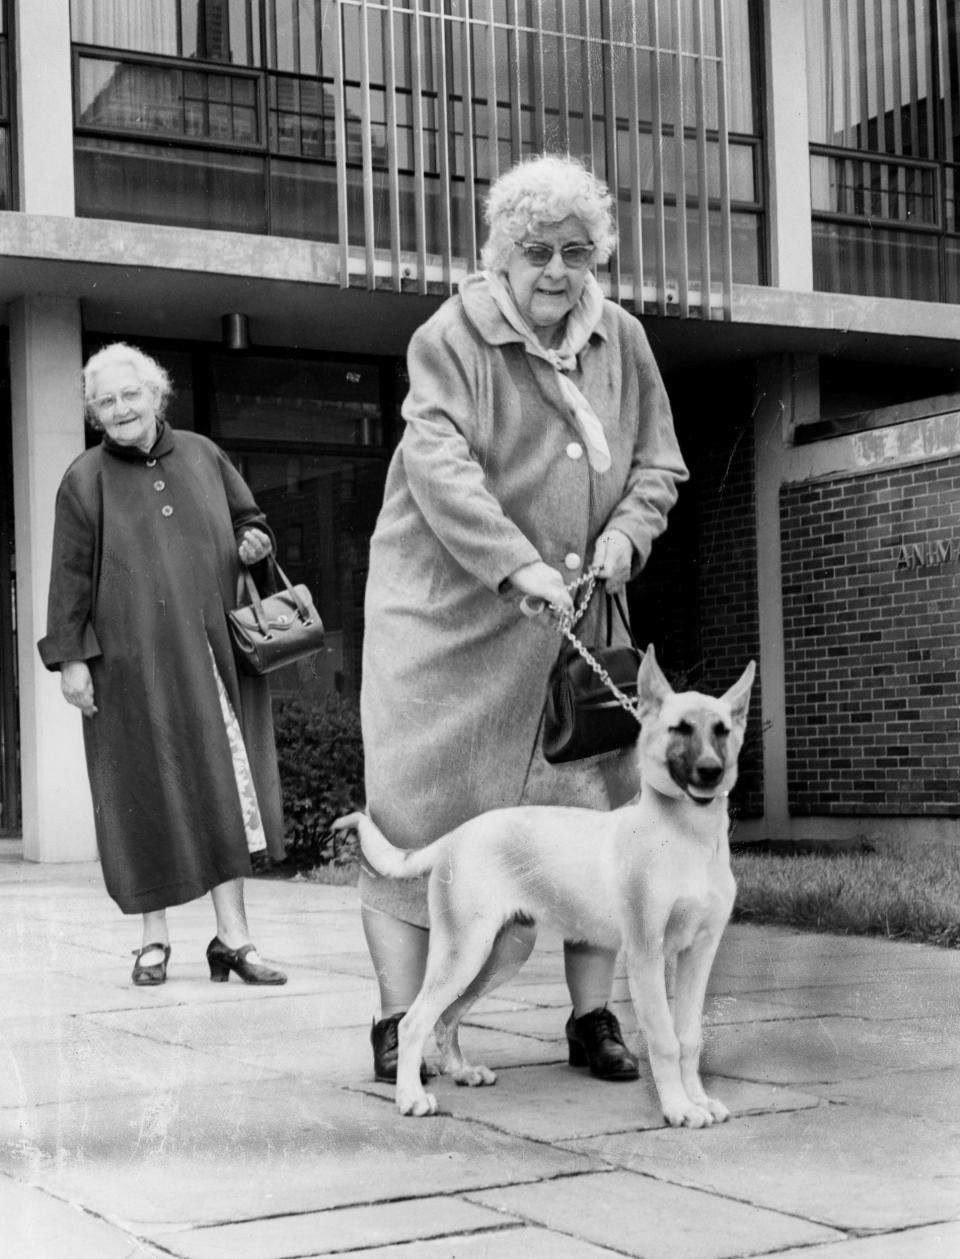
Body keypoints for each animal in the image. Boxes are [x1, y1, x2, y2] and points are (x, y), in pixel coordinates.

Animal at [337, 649, 759, 1133]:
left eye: (722, 730)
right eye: (679, 729)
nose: (710, 772)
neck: (685, 836)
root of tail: (453, 836)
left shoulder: (698, 954)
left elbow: (689, 1037)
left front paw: (699, 1100)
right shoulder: (646, 955)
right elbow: (665, 1039)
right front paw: (677, 1107)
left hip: (501, 954)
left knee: (447, 1016)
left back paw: (461, 1071)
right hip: (464, 952)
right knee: (414, 1022)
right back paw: (410, 1096)